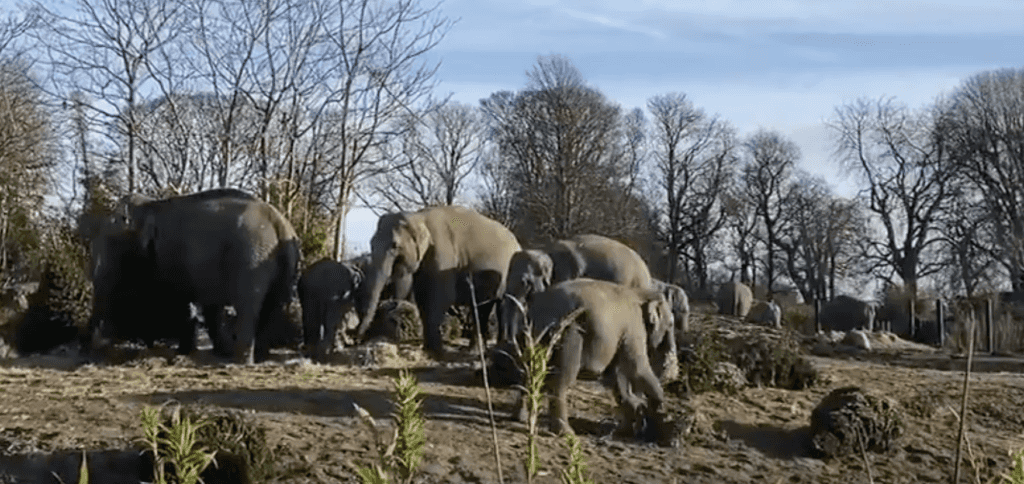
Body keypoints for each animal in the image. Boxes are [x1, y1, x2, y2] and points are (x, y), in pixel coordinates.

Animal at [122, 189, 300, 363]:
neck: (152, 204)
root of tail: (279, 223)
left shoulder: (169, 251)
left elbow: (181, 296)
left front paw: (184, 352)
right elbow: (208, 303)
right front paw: (217, 352)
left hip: (251, 257)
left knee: (248, 306)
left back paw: (241, 361)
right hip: (281, 260)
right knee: (274, 305)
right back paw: (259, 358)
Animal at [354, 205, 521, 357]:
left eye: (394, 246)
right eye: (371, 243)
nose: (356, 339)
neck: (418, 217)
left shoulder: (444, 254)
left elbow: (440, 298)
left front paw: (437, 352)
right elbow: (422, 299)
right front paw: (428, 350)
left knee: (495, 307)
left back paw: (485, 350)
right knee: (487, 307)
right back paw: (485, 349)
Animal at [511, 278, 673, 439]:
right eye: (670, 324)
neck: (641, 292)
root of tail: (542, 311)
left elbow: (617, 378)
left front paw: (625, 429)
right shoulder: (634, 326)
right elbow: (637, 369)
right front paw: (660, 407)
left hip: (528, 333)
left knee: (526, 372)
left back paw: (520, 418)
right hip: (571, 333)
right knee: (562, 380)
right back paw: (566, 432)